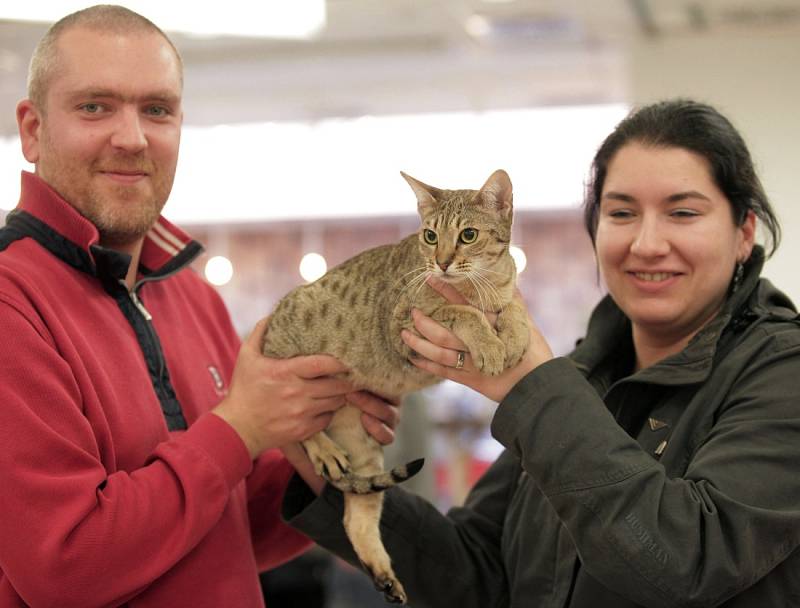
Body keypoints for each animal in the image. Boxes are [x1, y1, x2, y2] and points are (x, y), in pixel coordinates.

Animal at [260, 167, 532, 604]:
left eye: (468, 234)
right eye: (430, 236)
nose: (441, 263)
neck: (480, 282)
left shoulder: (502, 292)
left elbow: (513, 308)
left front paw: (515, 335)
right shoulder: (404, 323)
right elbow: (464, 313)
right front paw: (490, 345)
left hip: (363, 445)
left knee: (358, 512)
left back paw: (384, 574)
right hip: (289, 369)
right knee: (300, 427)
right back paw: (322, 449)